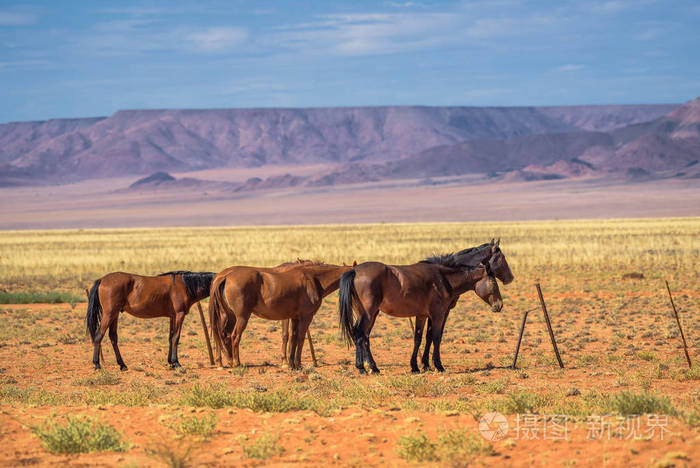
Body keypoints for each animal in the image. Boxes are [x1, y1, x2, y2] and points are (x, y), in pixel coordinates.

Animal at [86, 270, 214, 370]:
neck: (185, 285)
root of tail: (102, 280)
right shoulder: (179, 315)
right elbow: (176, 338)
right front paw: (176, 363)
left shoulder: (172, 317)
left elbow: (170, 338)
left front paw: (170, 362)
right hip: (109, 314)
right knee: (98, 335)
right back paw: (97, 364)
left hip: (115, 315)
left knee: (113, 337)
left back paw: (122, 365)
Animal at [209, 261, 353, 370]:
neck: (313, 279)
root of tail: (225, 277)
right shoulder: (306, 317)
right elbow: (299, 338)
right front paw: (297, 363)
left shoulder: (294, 317)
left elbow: (292, 337)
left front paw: (291, 363)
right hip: (241, 317)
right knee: (234, 336)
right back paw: (236, 363)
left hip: (227, 316)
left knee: (222, 335)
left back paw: (224, 362)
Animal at [338, 239, 513, 374]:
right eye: (493, 283)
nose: (499, 305)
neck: (443, 278)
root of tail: (355, 270)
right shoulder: (439, 314)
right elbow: (436, 337)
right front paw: (438, 365)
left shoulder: (423, 315)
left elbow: (420, 337)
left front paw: (418, 366)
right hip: (368, 313)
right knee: (360, 334)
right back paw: (362, 368)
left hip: (370, 313)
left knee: (364, 336)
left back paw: (373, 367)